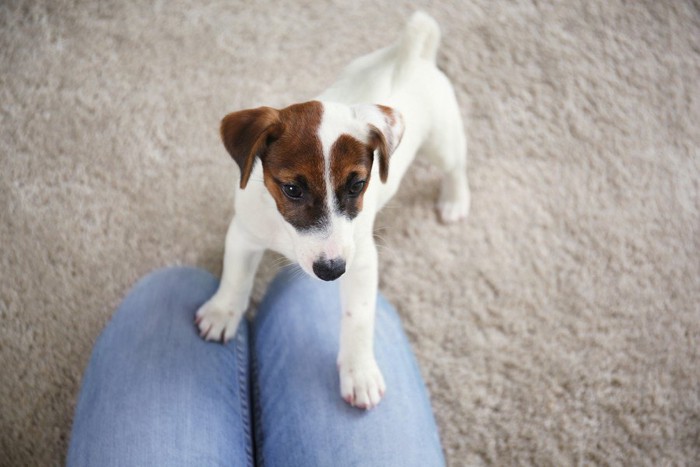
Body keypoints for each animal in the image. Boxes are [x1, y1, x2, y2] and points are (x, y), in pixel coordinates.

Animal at [196, 11, 470, 410]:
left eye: (356, 186)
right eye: (292, 189)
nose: (331, 272)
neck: (284, 232)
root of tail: (411, 56)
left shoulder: (361, 260)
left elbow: (359, 317)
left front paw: (359, 372)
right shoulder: (244, 234)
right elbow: (235, 276)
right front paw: (222, 312)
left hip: (442, 141)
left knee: (455, 166)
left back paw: (454, 200)